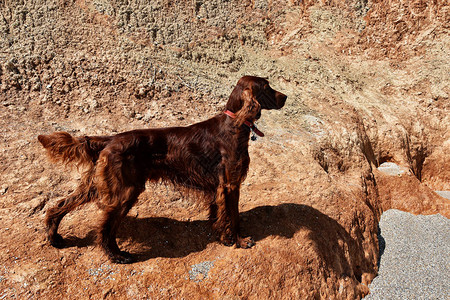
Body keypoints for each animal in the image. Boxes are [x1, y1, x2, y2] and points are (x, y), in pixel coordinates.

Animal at [37, 76, 286, 264]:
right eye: (266, 86)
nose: (286, 97)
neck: (234, 125)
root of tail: (111, 138)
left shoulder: (219, 187)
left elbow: (220, 214)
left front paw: (222, 236)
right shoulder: (231, 184)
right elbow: (234, 217)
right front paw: (240, 241)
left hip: (98, 185)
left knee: (60, 205)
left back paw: (54, 236)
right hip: (125, 191)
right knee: (105, 228)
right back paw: (117, 256)